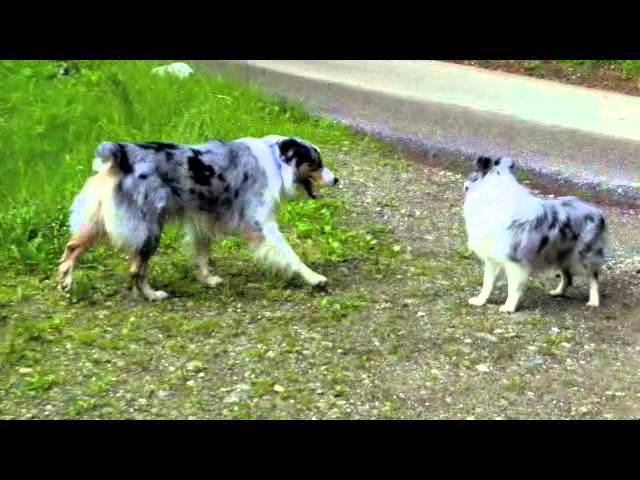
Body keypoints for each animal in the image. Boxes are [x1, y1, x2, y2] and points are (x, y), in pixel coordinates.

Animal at [59, 136, 338, 300]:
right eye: (316, 163)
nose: (336, 179)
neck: (275, 160)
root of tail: (121, 155)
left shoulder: (202, 221)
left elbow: (202, 255)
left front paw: (207, 278)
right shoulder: (261, 225)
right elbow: (290, 254)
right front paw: (313, 277)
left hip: (98, 223)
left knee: (72, 247)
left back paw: (65, 283)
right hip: (149, 229)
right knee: (136, 271)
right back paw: (153, 295)